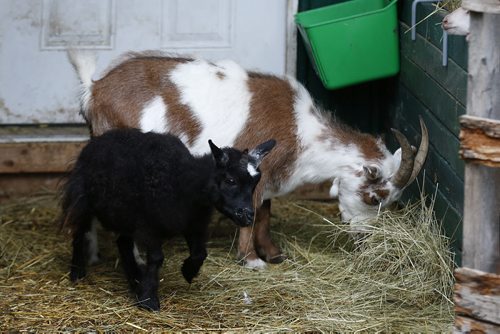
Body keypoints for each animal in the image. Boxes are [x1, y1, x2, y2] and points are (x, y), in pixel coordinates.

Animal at [61, 129, 278, 310]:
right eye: (230, 180)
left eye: (254, 183)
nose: (247, 215)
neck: (183, 181)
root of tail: (97, 140)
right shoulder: (148, 226)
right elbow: (157, 258)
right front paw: (149, 299)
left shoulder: (194, 224)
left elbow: (200, 253)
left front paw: (188, 272)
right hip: (83, 200)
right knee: (79, 233)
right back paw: (77, 272)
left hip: (127, 215)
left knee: (122, 242)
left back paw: (134, 279)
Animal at [68, 50, 428, 268]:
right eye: (374, 197)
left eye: (392, 203)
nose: (365, 239)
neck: (302, 130)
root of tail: (94, 89)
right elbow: (252, 214)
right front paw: (252, 260)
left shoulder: (265, 176)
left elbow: (265, 214)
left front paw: (274, 254)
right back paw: (136, 258)